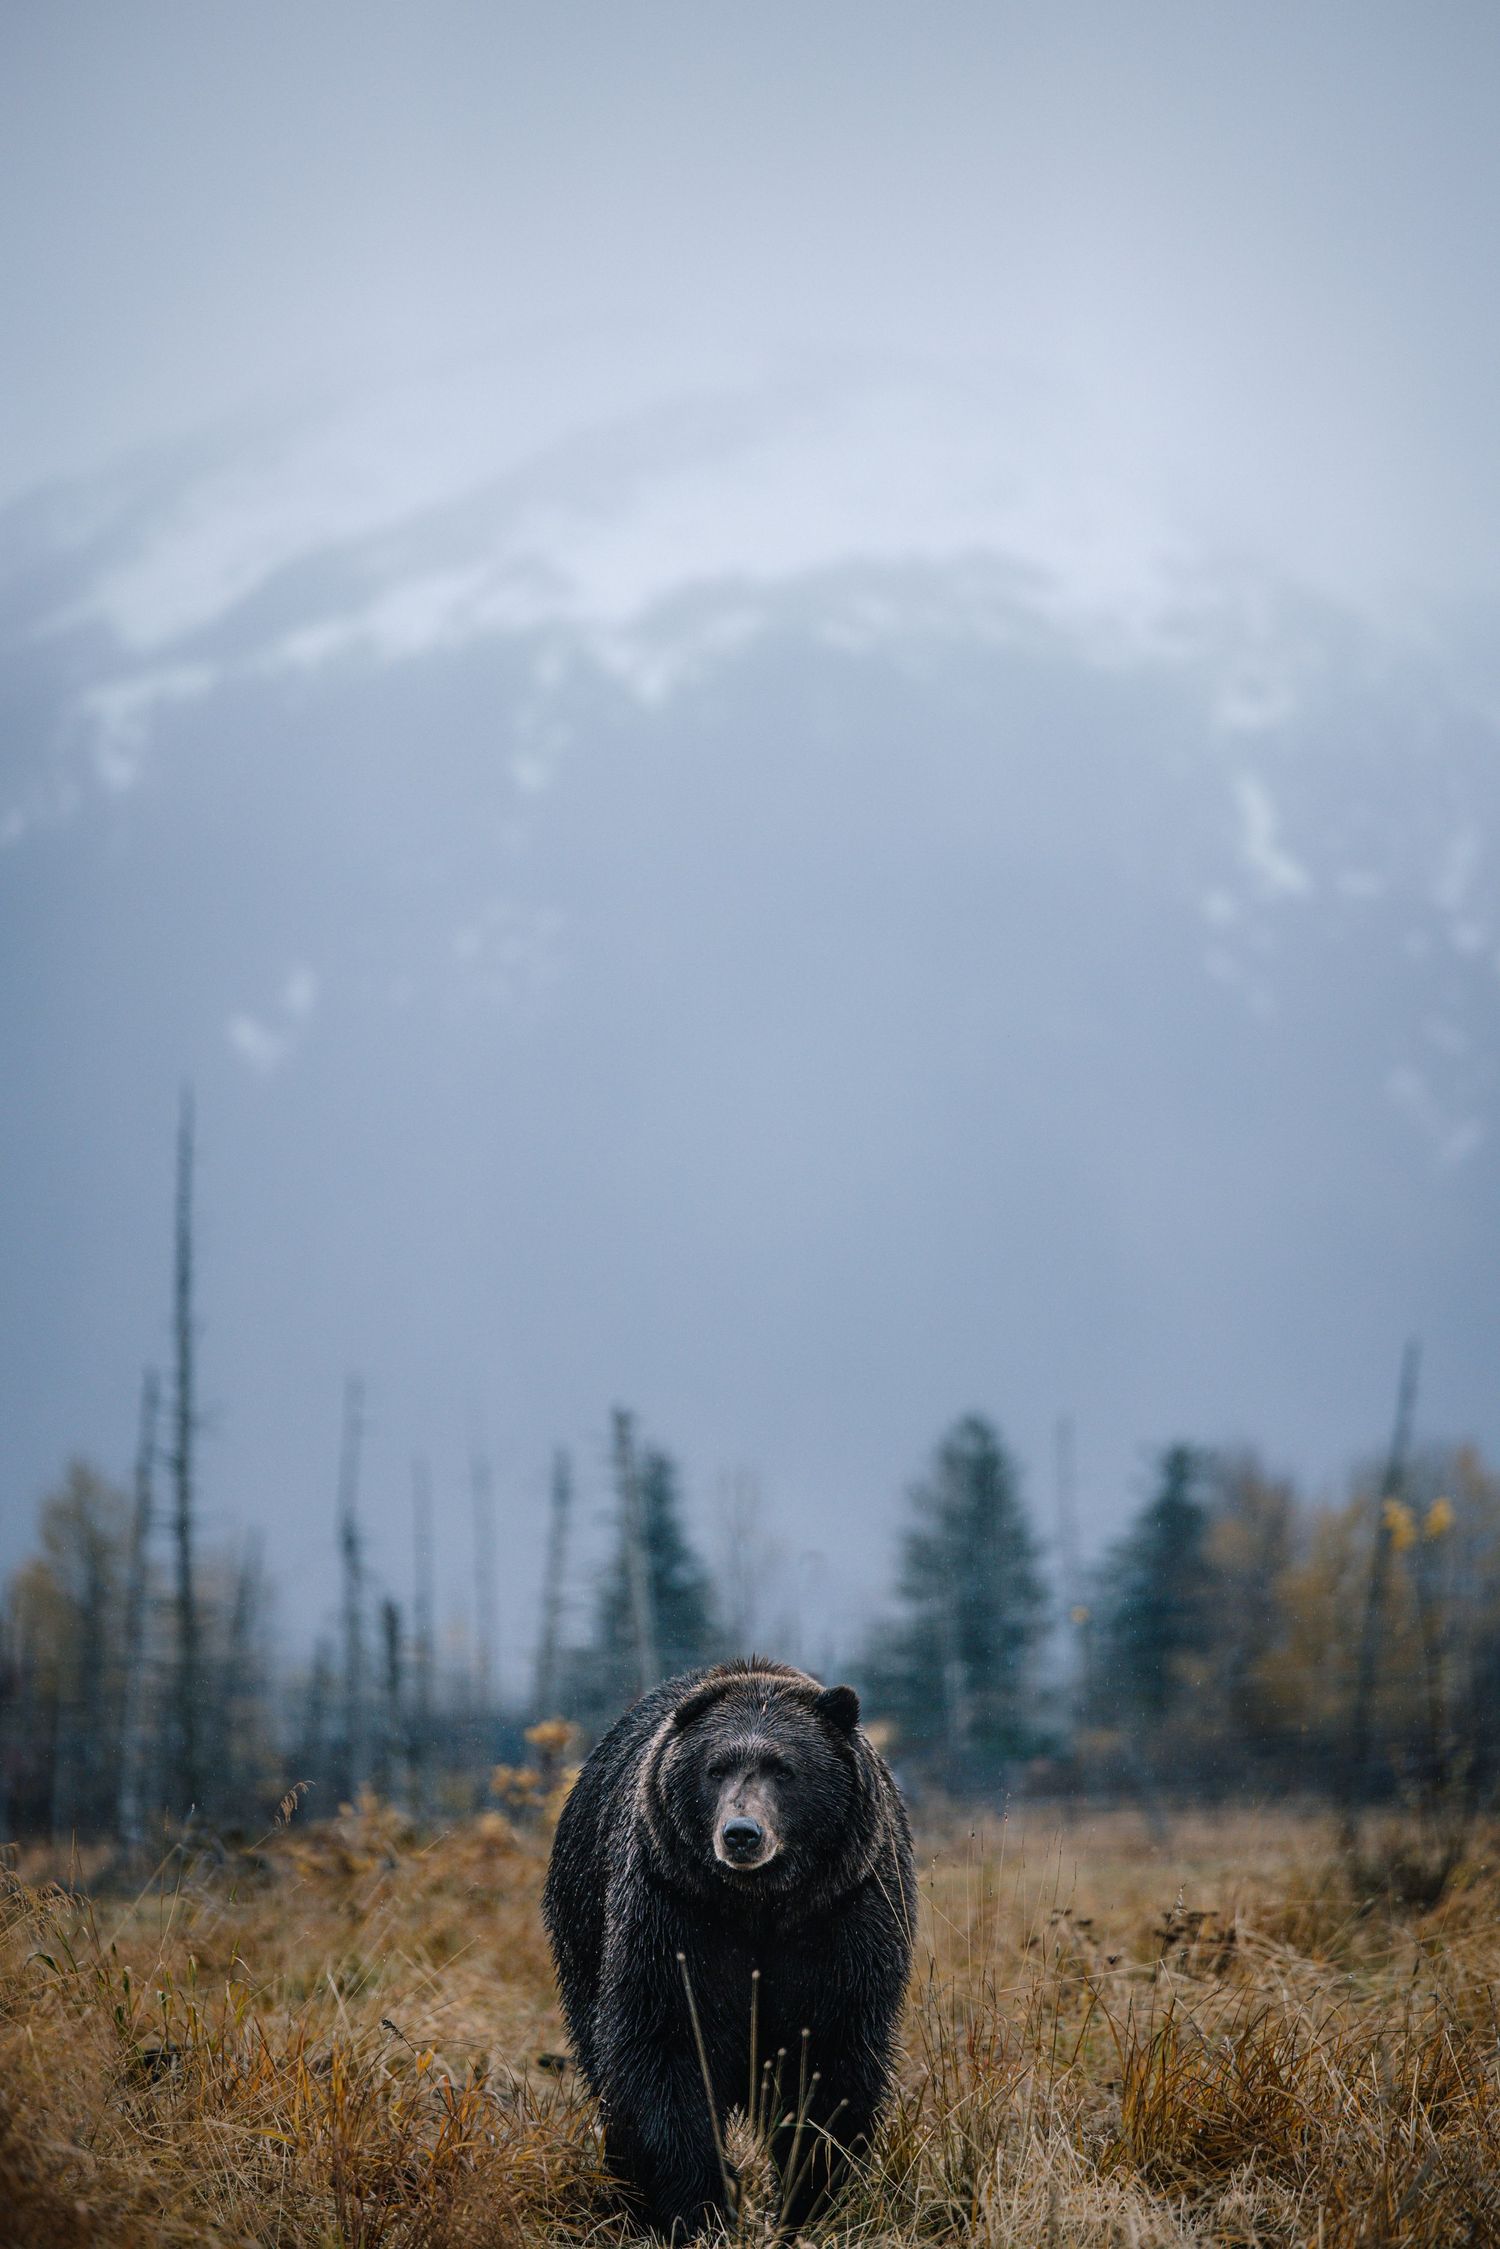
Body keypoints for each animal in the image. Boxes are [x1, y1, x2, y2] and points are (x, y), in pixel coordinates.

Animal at [543, 1658, 916, 2240]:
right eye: (716, 1768)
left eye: (784, 1769)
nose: (742, 1833)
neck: (758, 1903)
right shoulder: (676, 1912)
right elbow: (664, 2046)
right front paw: (702, 2206)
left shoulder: (844, 1917)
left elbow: (831, 2060)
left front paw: (807, 2199)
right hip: (582, 1922)